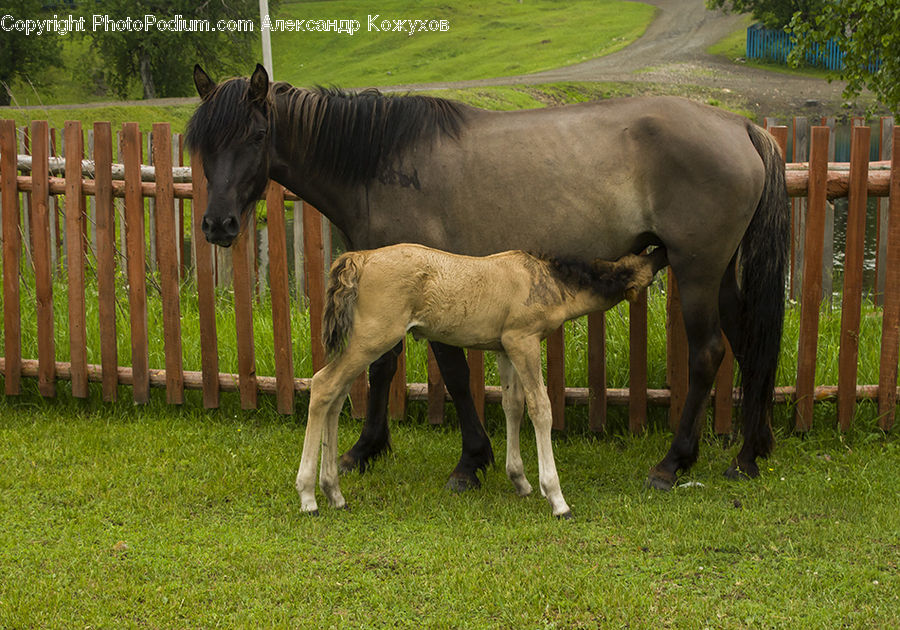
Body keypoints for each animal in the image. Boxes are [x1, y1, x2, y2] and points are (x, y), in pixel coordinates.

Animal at [185, 64, 788, 492]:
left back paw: (673, 462)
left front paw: (470, 461)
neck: (380, 162)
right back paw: (749, 454)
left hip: (696, 269)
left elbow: (451, 373)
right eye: (204, 144)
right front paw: (367, 449)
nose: (217, 224)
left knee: (709, 353)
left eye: (256, 134)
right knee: (749, 346)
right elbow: (383, 367)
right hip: (720, 274)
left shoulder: (429, 288)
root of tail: (739, 124)